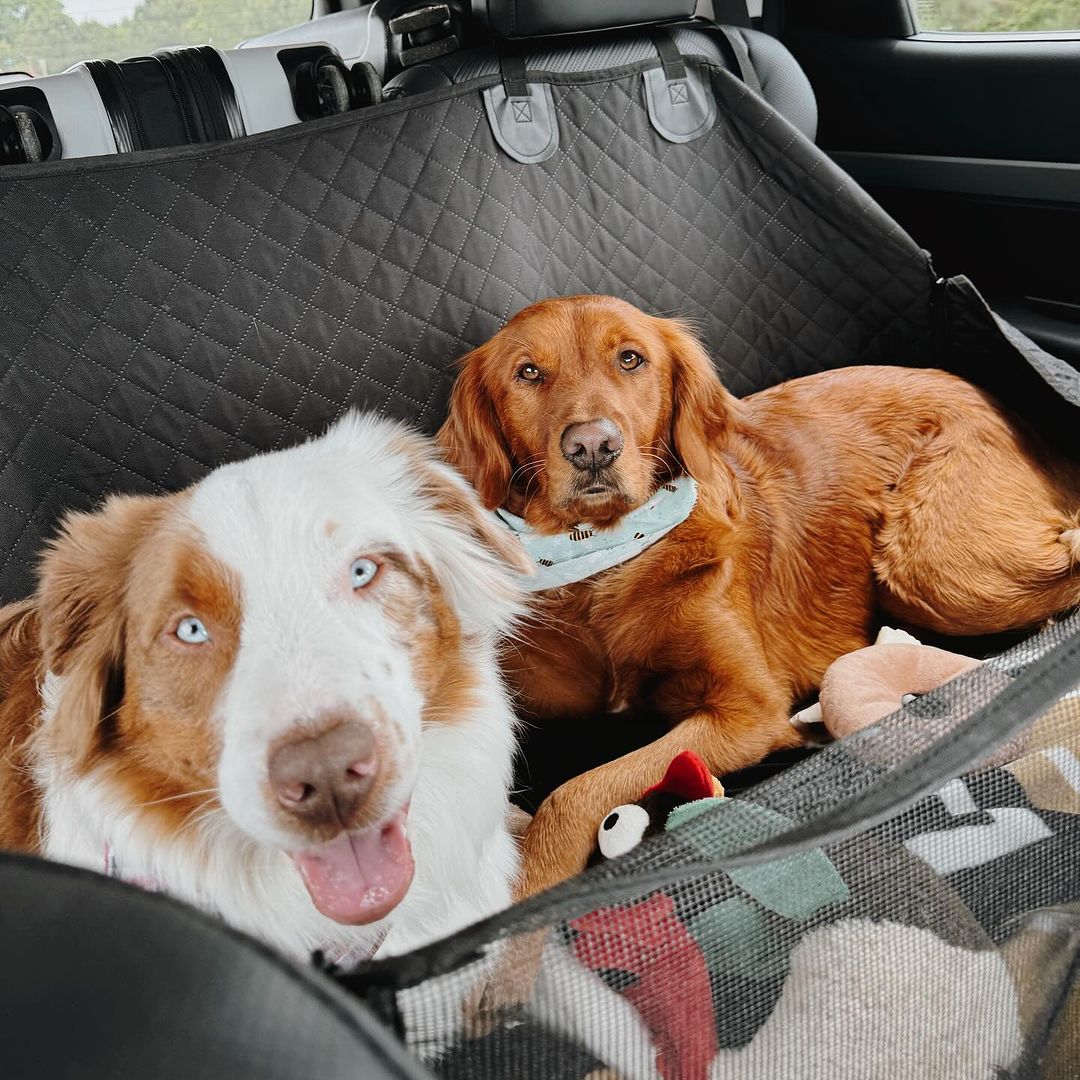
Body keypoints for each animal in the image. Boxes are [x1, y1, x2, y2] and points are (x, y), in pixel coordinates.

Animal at [436, 293, 1080, 894]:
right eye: (528, 372)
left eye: (631, 359)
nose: (592, 446)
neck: (607, 561)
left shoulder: (747, 710)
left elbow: (576, 790)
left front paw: (533, 883)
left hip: (928, 566)